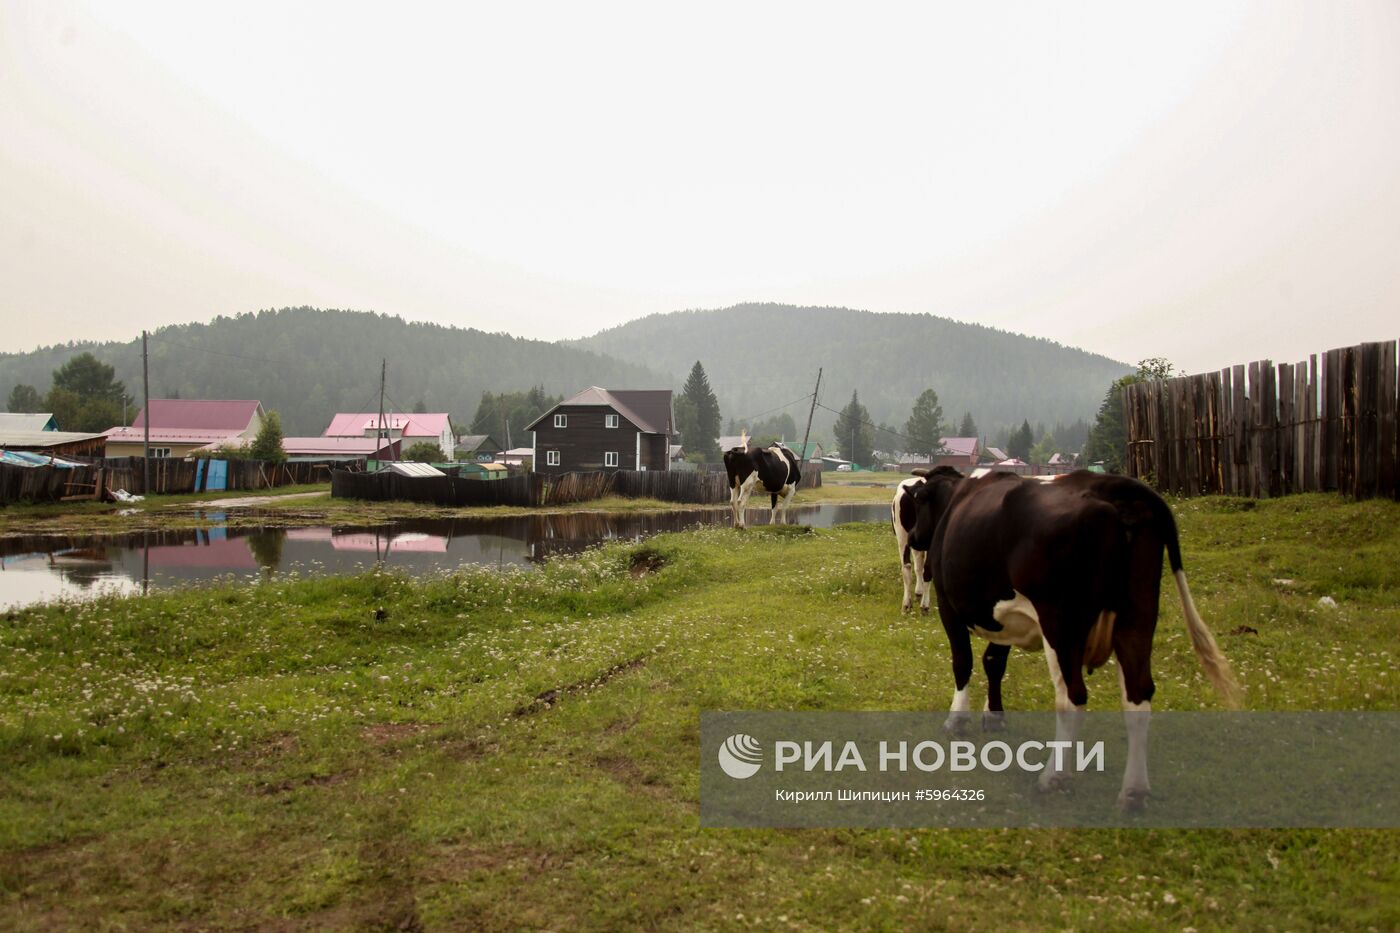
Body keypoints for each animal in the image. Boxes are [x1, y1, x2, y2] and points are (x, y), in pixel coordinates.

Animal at [901, 465, 1243, 806]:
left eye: (919, 500)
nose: (914, 537)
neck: (954, 501)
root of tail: (1110, 486)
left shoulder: (948, 603)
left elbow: (963, 662)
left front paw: (956, 721)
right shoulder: (1003, 616)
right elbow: (994, 661)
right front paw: (994, 718)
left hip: (1060, 625)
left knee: (1072, 698)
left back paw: (1054, 777)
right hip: (1138, 616)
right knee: (1138, 695)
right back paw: (1134, 792)